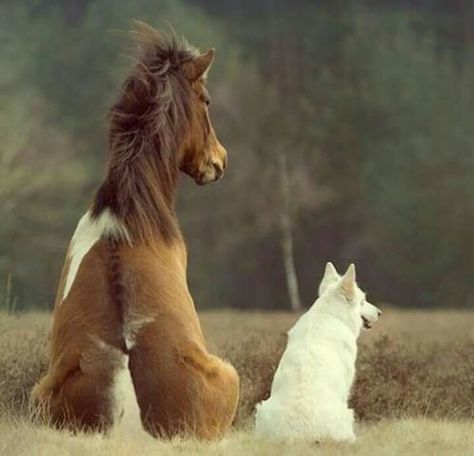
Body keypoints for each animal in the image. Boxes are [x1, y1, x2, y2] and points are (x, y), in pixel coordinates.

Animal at [256, 262, 382, 444]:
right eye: (363, 301)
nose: (380, 312)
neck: (328, 314)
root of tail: (298, 435)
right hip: (346, 413)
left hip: (263, 409)